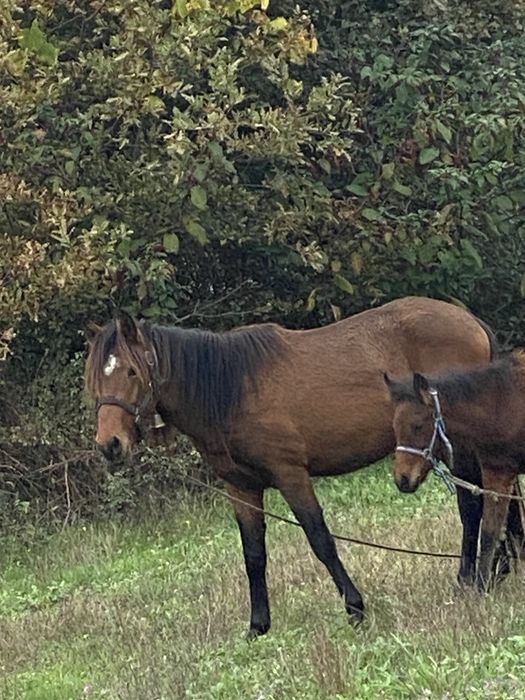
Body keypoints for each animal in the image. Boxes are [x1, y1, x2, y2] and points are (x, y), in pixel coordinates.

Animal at [85, 296, 511, 638]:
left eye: (131, 372)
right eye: (95, 379)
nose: (110, 445)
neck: (231, 389)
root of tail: (468, 319)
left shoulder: (291, 475)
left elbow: (320, 540)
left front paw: (355, 608)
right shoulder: (241, 488)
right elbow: (253, 555)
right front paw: (258, 625)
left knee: (473, 506)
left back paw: (469, 580)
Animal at [386, 352, 525, 590]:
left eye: (417, 426)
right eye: (395, 428)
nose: (402, 479)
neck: (502, 404)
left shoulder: (500, 473)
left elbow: (489, 532)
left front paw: (481, 586)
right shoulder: (495, 471)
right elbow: (492, 529)